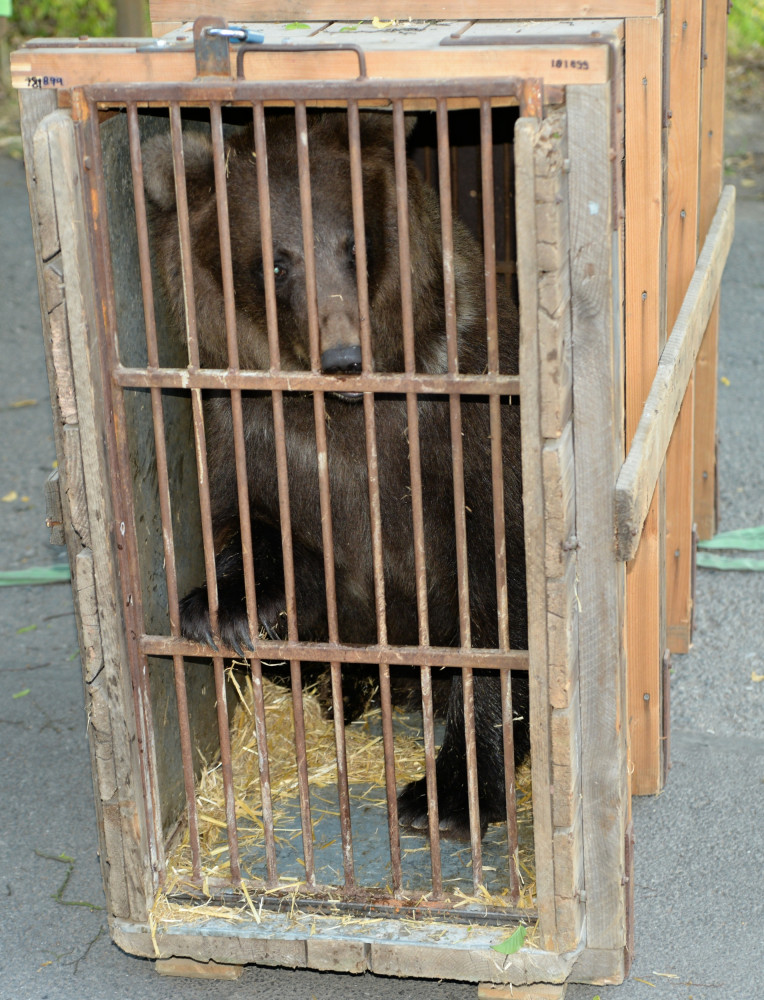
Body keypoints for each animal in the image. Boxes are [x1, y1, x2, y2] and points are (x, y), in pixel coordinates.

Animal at [142, 110, 529, 840]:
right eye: (275, 260)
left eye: (356, 243)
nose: (345, 355)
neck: (345, 414)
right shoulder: (250, 428)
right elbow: (254, 521)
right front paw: (227, 608)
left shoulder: (465, 427)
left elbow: (494, 609)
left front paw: (451, 792)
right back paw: (341, 685)